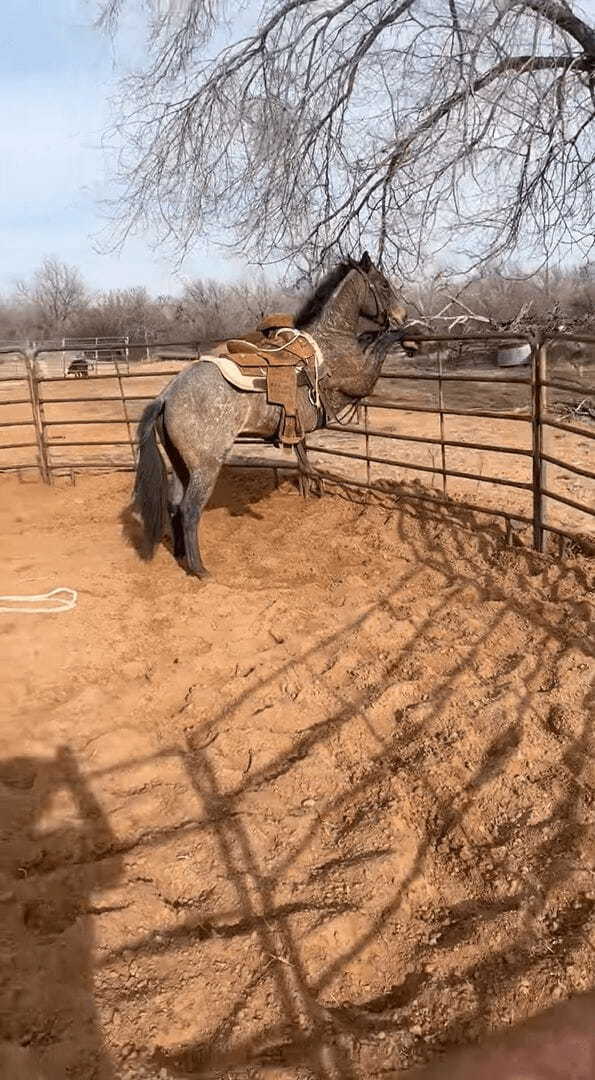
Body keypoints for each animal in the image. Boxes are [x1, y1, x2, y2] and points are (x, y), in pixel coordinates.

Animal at [132, 252, 416, 578]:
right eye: (383, 284)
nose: (402, 314)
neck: (330, 341)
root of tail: (166, 397)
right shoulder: (360, 382)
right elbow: (382, 342)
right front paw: (408, 333)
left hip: (182, 465)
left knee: (175, 505)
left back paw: (180, 555)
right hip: (206, 467)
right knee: (190, 510)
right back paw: (199, 569)